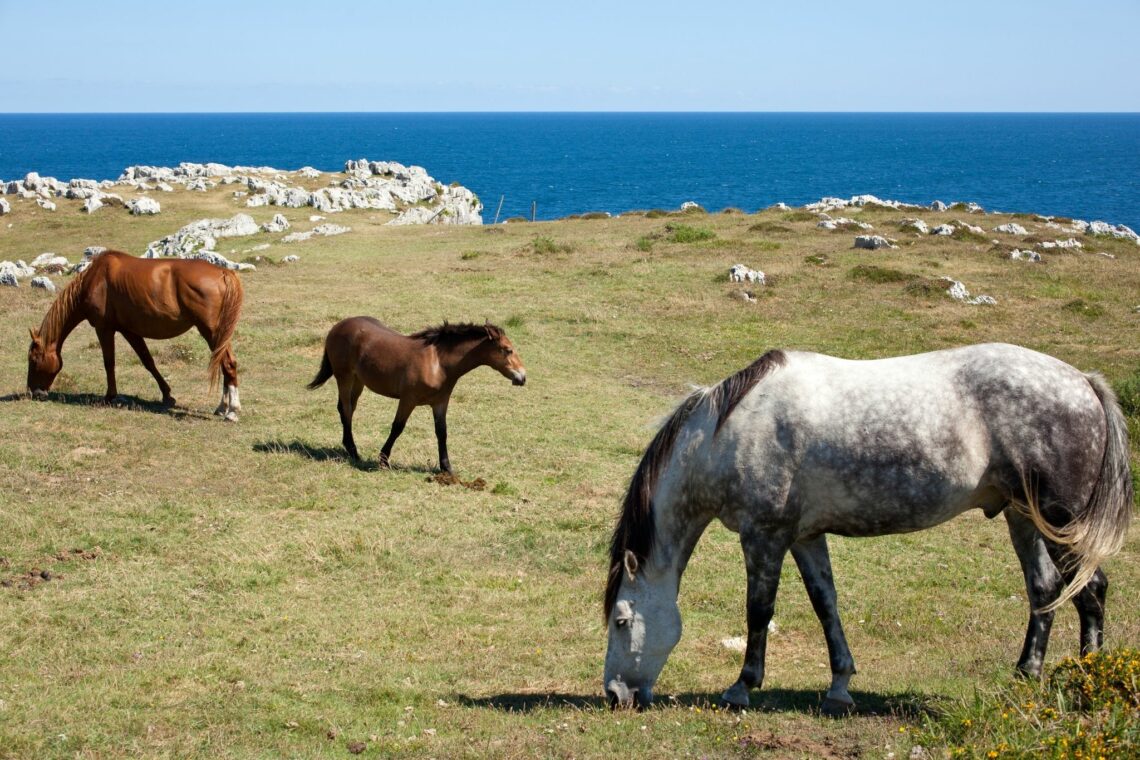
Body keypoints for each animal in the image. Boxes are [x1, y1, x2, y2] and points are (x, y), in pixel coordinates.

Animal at [26, 250, 245, 420]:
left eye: (34, 359)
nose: (33, 393)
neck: (95, 279)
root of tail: (224, 272)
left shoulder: (104, 329)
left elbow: (109, 362)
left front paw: (110, 396)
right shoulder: (129, 331)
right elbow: (148, 361)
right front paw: (167, 396)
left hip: (211, 331)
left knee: (228, 364)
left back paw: (232, 411)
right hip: (219, 334)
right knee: (226, 365)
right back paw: (222, 408)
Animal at [307, 318, 526, 473]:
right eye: (508, 350)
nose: (522, 377)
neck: (438, 363)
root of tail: (338, 326)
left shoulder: (440, 402)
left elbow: (442, 432)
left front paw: (446, 467)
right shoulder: (408, 400)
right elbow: (397, 427)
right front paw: (383, 460)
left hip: (358, 381)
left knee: (348, 410)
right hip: (344, 377)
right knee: (346, 410)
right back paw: (353, 451)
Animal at [603, 343, 1132, 713]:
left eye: (621, 620)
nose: (613, 694)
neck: (728, 433)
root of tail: (1084, 382)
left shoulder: (764, 537)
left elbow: (759, 611)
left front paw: (742, 687)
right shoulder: (804, 538)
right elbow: (826, 606)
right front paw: (839, 687)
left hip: (1062, 521)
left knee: (1091, 591)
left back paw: (1088, 684)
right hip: (1022, 516)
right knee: (1044, 590)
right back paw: (1025, 674)